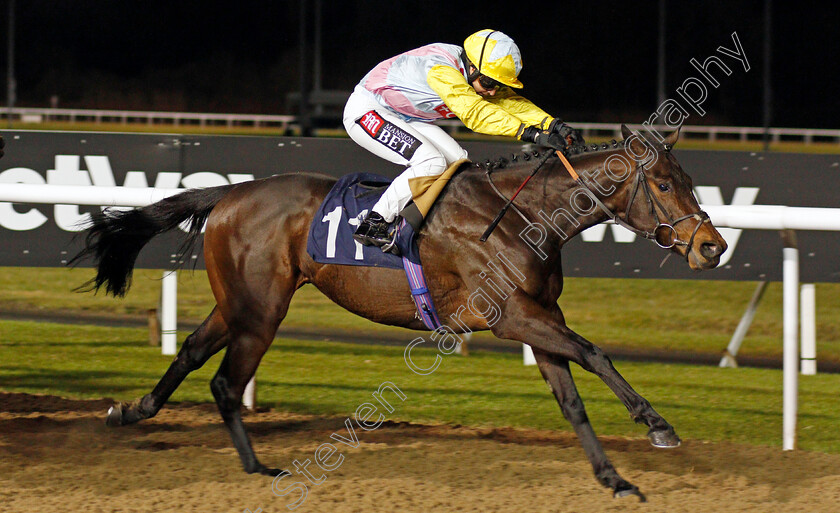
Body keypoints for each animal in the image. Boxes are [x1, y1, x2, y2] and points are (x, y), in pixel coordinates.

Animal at [72, 125, 728, 500]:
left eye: (690, 180)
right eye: (663, 185)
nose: (712, 247)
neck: (525, 214)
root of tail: (231, 192)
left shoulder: (537, 316)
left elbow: (571, 402)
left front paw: (614, 479)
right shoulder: (511, 316)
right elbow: (596, 352)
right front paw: (658, 426)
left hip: (237, 302)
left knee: (189, 353)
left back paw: (131, 412)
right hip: (260, 311)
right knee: (227, 383)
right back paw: (259, 470)